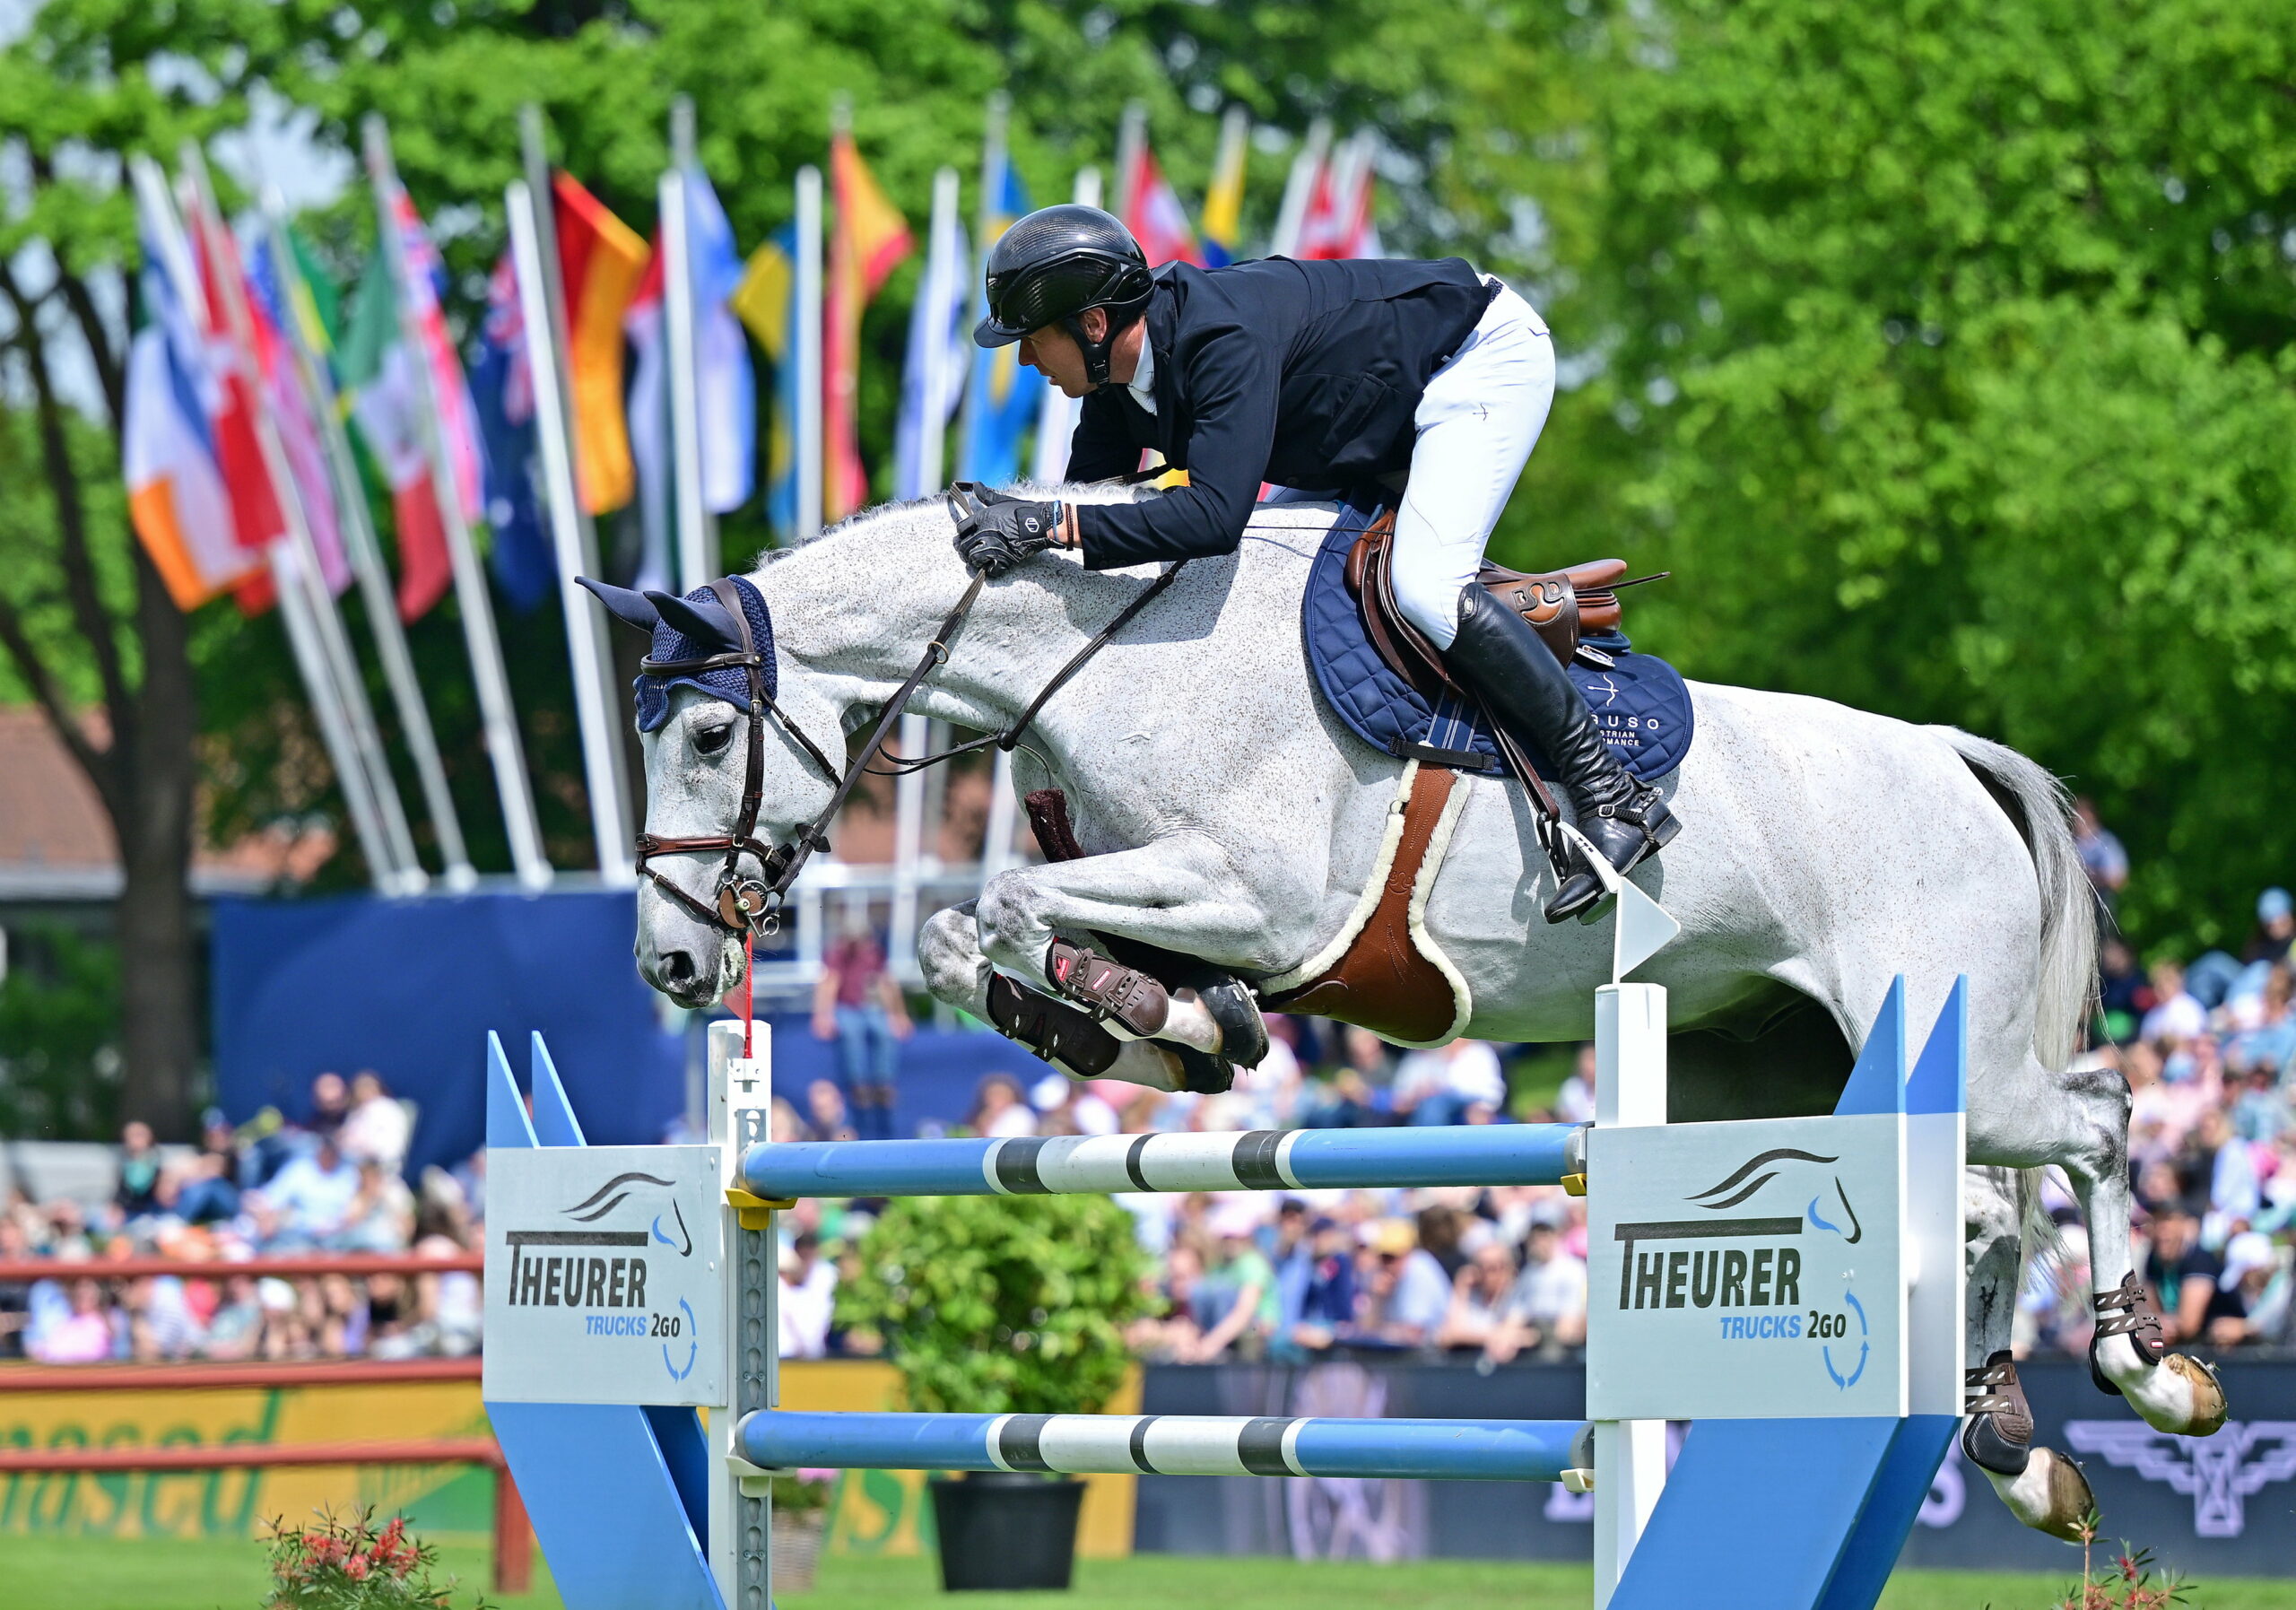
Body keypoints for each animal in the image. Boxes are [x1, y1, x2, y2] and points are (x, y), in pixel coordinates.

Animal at [624, 486, 2222, 1534]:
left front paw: (1161, 1017)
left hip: (1960, 1042)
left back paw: (2150, 1368)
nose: (675, 968)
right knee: (1984, 1205)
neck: (1116, 655)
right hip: (1780, 1064)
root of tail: (1952, 755)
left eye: (706, 732)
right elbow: (973, 933)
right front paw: (1152, 1025)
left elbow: (1015, 903)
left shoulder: (1263, 897)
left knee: (2094, 1120)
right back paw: (2016, 1442)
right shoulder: (1179, 894)